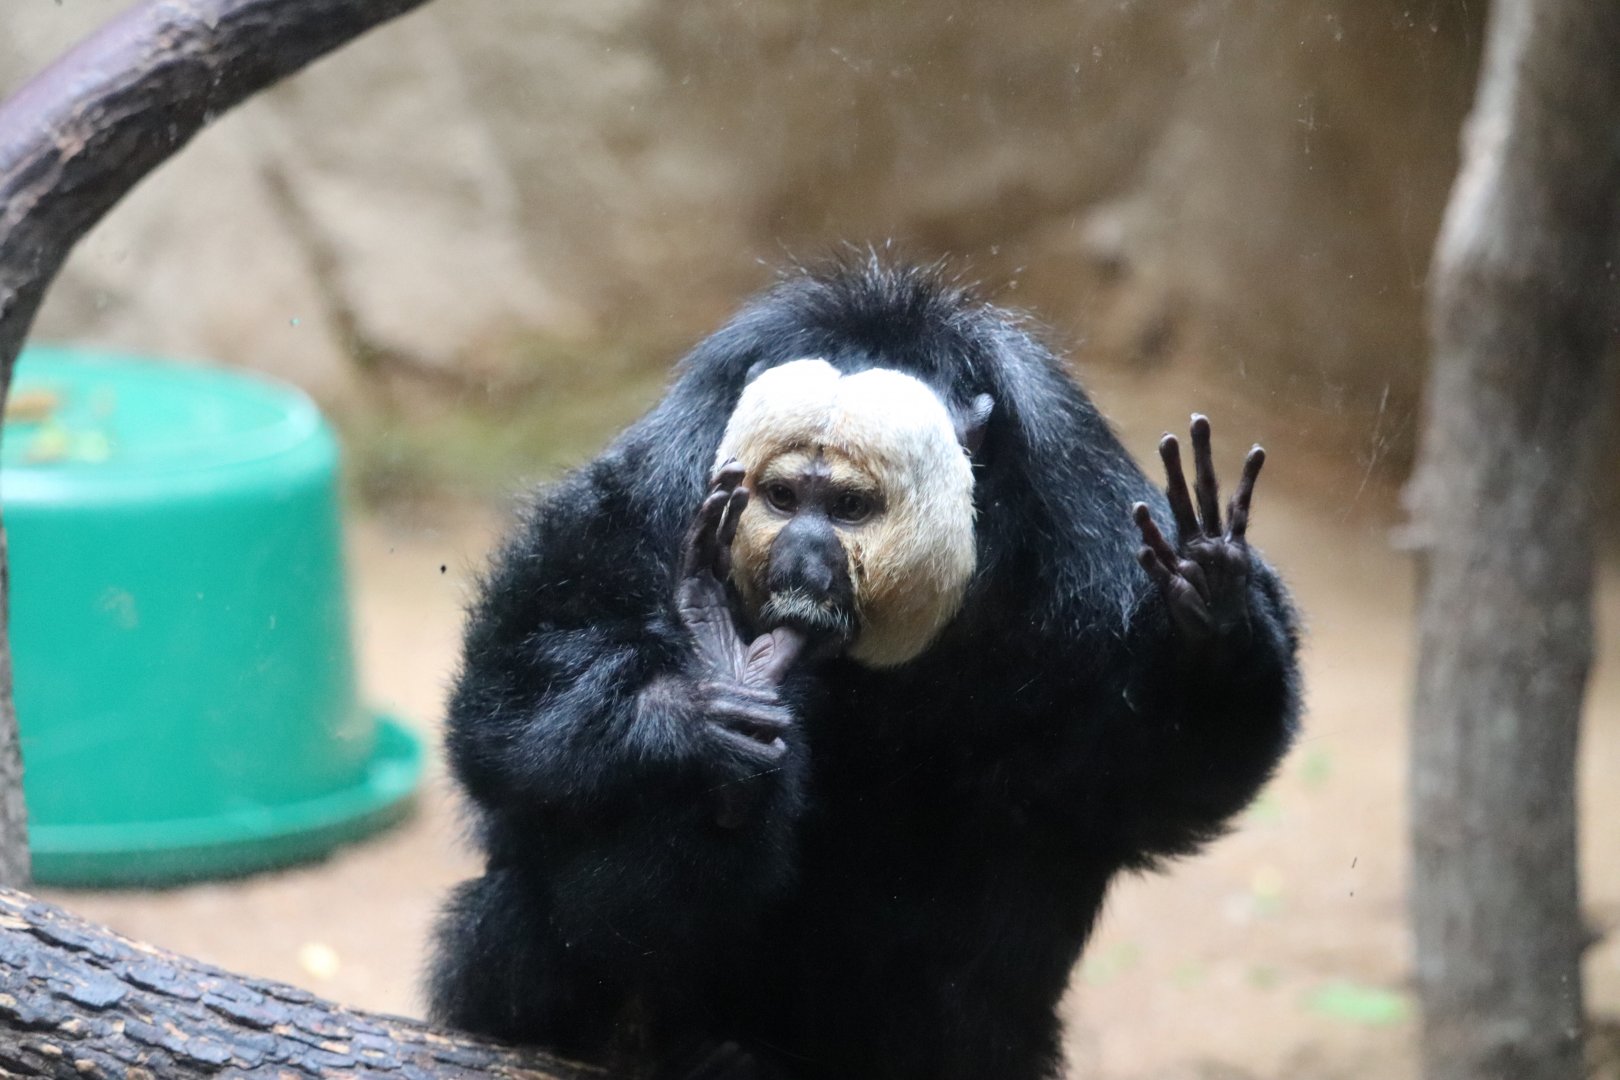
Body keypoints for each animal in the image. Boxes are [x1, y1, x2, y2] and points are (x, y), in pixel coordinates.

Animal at [428, 259, 1301, 1080]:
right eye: (782, 497)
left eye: (848, 508)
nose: (803, 554)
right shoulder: (644, 495)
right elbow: (512, 709)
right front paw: (709, 717)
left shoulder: (1087, 536)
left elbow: (1157, 780)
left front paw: (1211, 606)